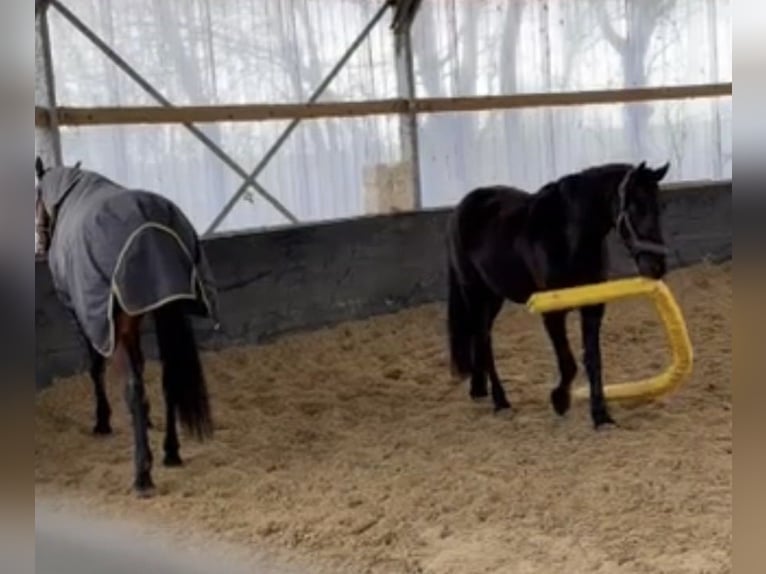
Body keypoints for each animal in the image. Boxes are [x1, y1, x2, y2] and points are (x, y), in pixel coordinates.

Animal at [35, 156, 219, 497]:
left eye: (37, 195)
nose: (41, 243)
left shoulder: (86, 317)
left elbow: (97, 369)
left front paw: (102, 421)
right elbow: (143, 368)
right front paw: (145, 421)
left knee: (131, 387)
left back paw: (142, 474)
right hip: (164, 309)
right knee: (169, 379)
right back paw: (171, 451)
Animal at [446, 161, 671, 429]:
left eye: (659, 206)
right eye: (635, 207)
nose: (656, 266)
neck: (569, 236)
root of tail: (463, 206)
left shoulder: (593, 308)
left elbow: (593, 361)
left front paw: (601, 416)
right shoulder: (553, 313)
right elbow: (568, 363)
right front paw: (560, 400)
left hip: (494, 297)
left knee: (479, 338)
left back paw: (479, 389)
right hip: (475, 294)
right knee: (483, 339)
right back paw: (500, 401)